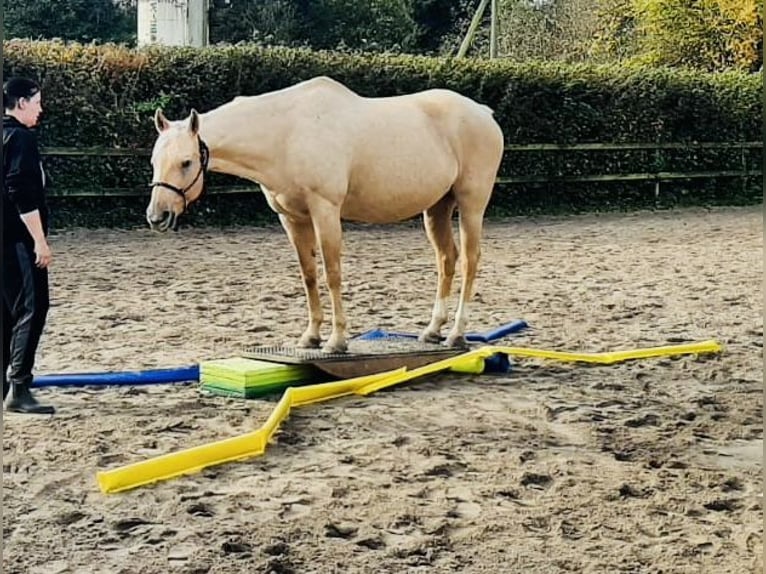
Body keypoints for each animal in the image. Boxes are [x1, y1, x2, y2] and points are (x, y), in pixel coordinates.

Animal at [147, 75, 508, 356]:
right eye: (154, 161)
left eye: (186, 162)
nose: (157, 216)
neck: (286, 134)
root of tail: (483, 112)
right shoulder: (292, 219)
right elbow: (309, 275)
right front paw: (311, 337)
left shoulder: (326, 210)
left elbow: (332, 272)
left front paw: (336, 341)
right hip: (437, 208)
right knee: (447, 259)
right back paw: (432, 330)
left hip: (471, 204)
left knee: (470, 260)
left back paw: (456, 334)